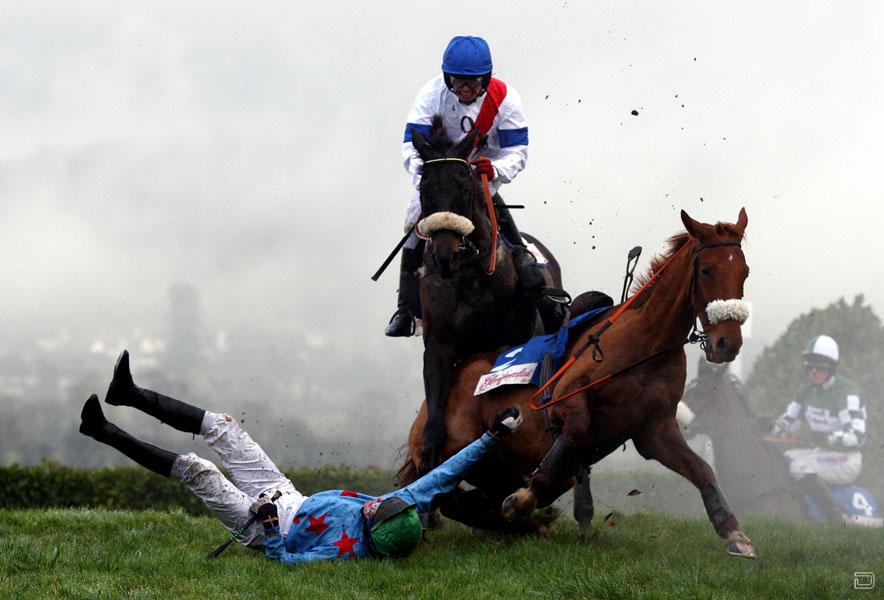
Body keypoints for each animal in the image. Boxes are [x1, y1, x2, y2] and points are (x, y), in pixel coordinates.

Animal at [398, 209, 756, 556]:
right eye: (707, 270)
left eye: (744, 272)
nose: (727, 343)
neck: (645, 343)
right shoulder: (566, 395)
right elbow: (575, 428)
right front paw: (524, 498)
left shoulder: (654, 429)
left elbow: (701, 470)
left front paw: (733, 532)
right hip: (455, 445)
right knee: (443, 494)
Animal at [410, 116, 568, 474]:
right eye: (424, 188)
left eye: (465, 186)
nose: (445, 255)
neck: (471, 279)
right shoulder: (438, 346)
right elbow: (435, 424)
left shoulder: (510, 347)